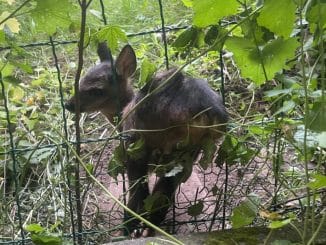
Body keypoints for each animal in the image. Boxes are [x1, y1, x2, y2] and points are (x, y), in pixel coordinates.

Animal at [65, 42, 228, 237]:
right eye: (80, 81)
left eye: (97, 90)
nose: (67, 104)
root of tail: (210, 112)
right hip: (189, 151)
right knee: (162, 198)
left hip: (143, 142)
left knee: (141, 193)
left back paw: (129, 230)